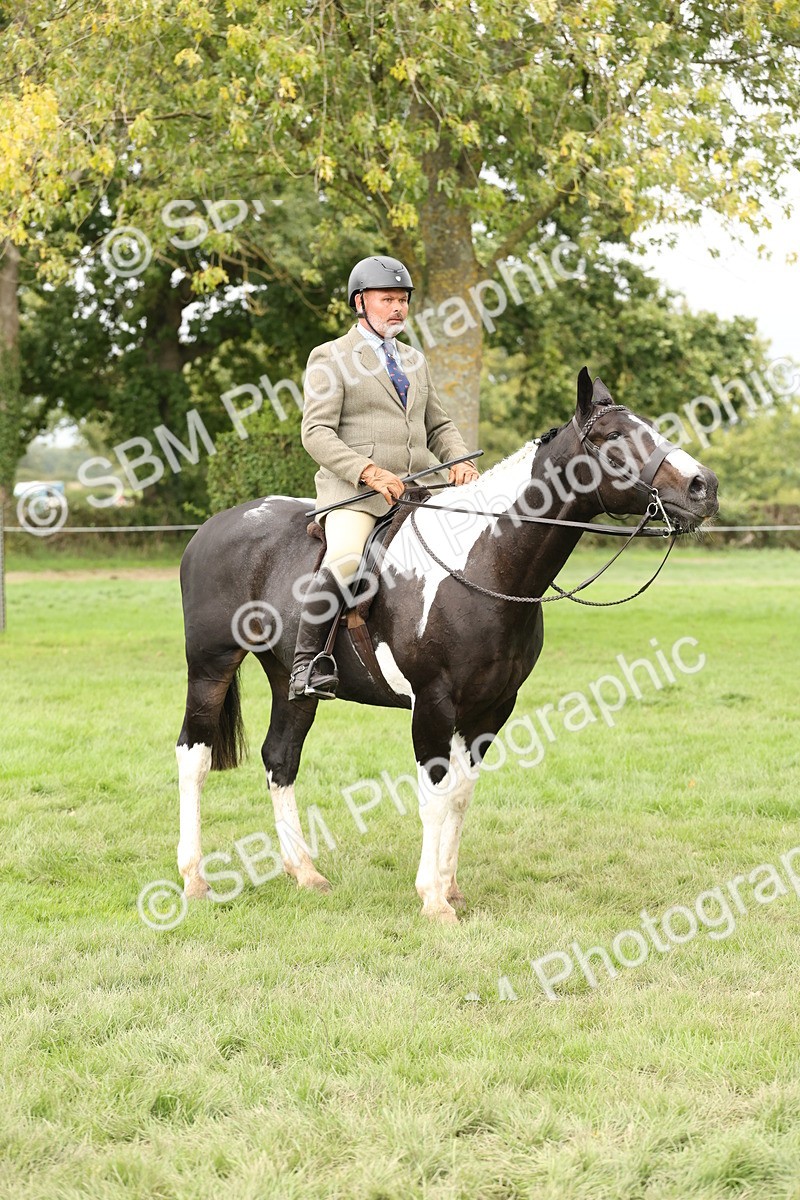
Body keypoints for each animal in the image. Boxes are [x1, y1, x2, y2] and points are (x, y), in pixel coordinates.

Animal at [175, 368, 718, 923]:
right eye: (612, 437)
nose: (705, 487)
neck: (483, 560)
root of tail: (214, 527)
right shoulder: (433, 704)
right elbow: (434, 795)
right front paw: (433, 900)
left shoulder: (491, 708)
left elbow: (460, 794)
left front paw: (450, 887)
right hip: (211, 667)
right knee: (193, 758)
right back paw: (195, 879)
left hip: (291, 681)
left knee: (280, 759)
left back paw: (305, 872)